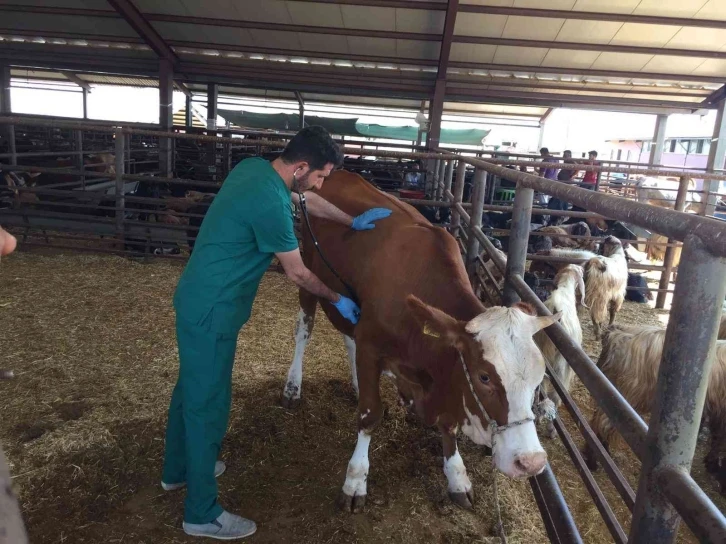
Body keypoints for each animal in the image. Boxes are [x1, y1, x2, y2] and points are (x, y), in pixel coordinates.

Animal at [280, 170, 556, 510]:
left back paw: (357, 383)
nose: (530, 462)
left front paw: (457, 476)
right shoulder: (371, 345)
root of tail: (340, 173)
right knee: (304, 329)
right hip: (306, 270)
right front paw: (355, 481)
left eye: (538, 380)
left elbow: (447, 424)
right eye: (484, 376)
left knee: (348, 337)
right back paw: (293, 387)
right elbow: (370, 415)